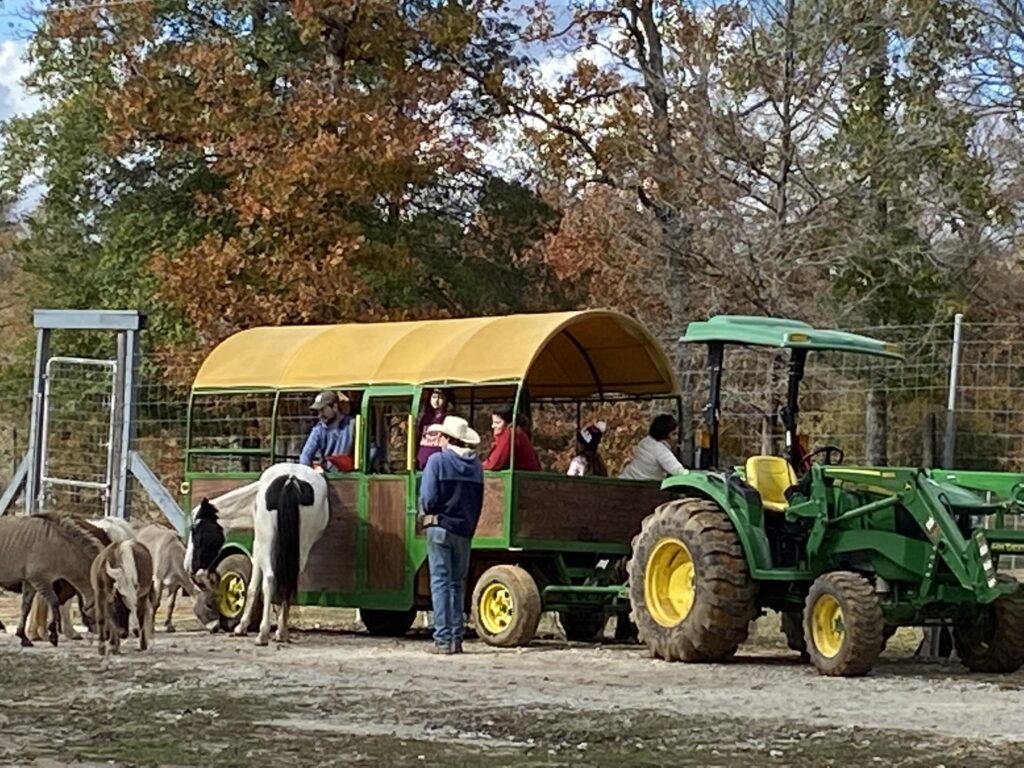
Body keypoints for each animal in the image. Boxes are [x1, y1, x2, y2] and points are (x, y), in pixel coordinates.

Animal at [184, 466, 327, 647]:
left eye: (195, 529)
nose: (188, 565)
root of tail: (291, 478)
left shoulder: (258, 547)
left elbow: (253, 588)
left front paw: (241, 627)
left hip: (267, 543)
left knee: (270, 579)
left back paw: (263, 634)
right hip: (302, 544)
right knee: (289, 579)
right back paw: (282, 632)